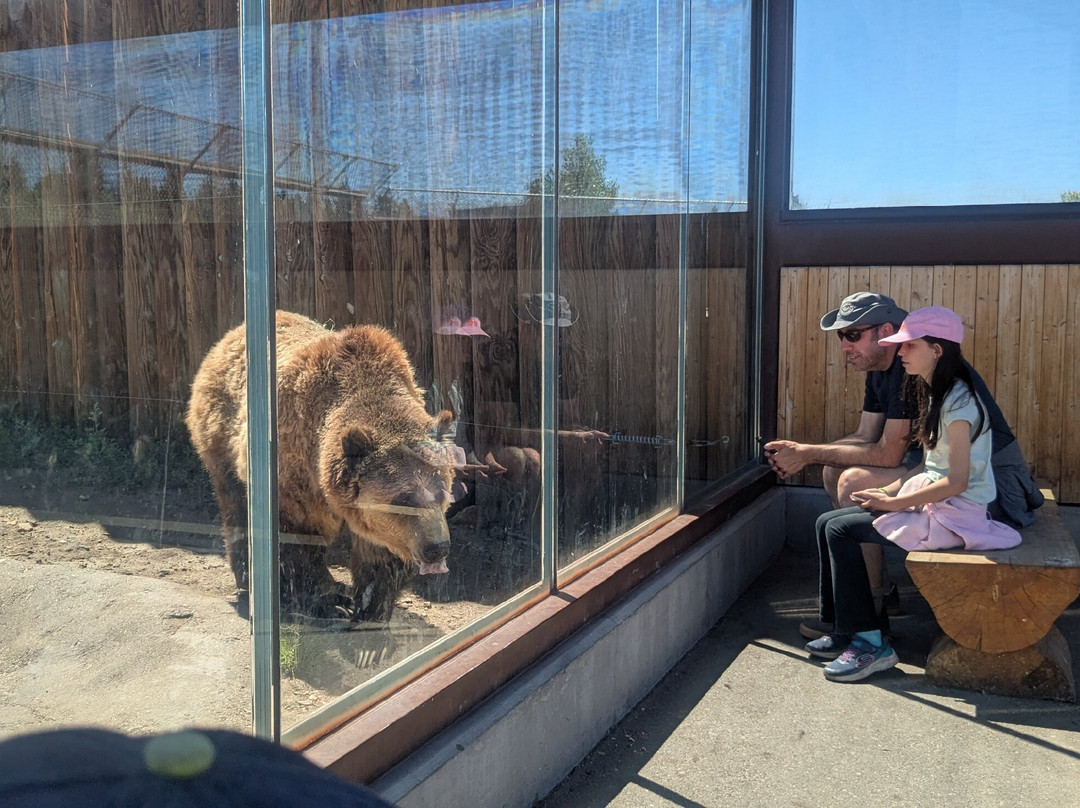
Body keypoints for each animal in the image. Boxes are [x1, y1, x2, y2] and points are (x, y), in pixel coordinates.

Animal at [185, 310, 455, 621]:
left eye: (442, 491)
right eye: (404, 498)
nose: (437, 547)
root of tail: (229, 337)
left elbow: (377, 550)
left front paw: (371, 604)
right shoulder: (295, 473)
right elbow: (298, 540)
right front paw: (327, 599)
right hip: (222, 439)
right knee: (236, 505)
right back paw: (248, 577)